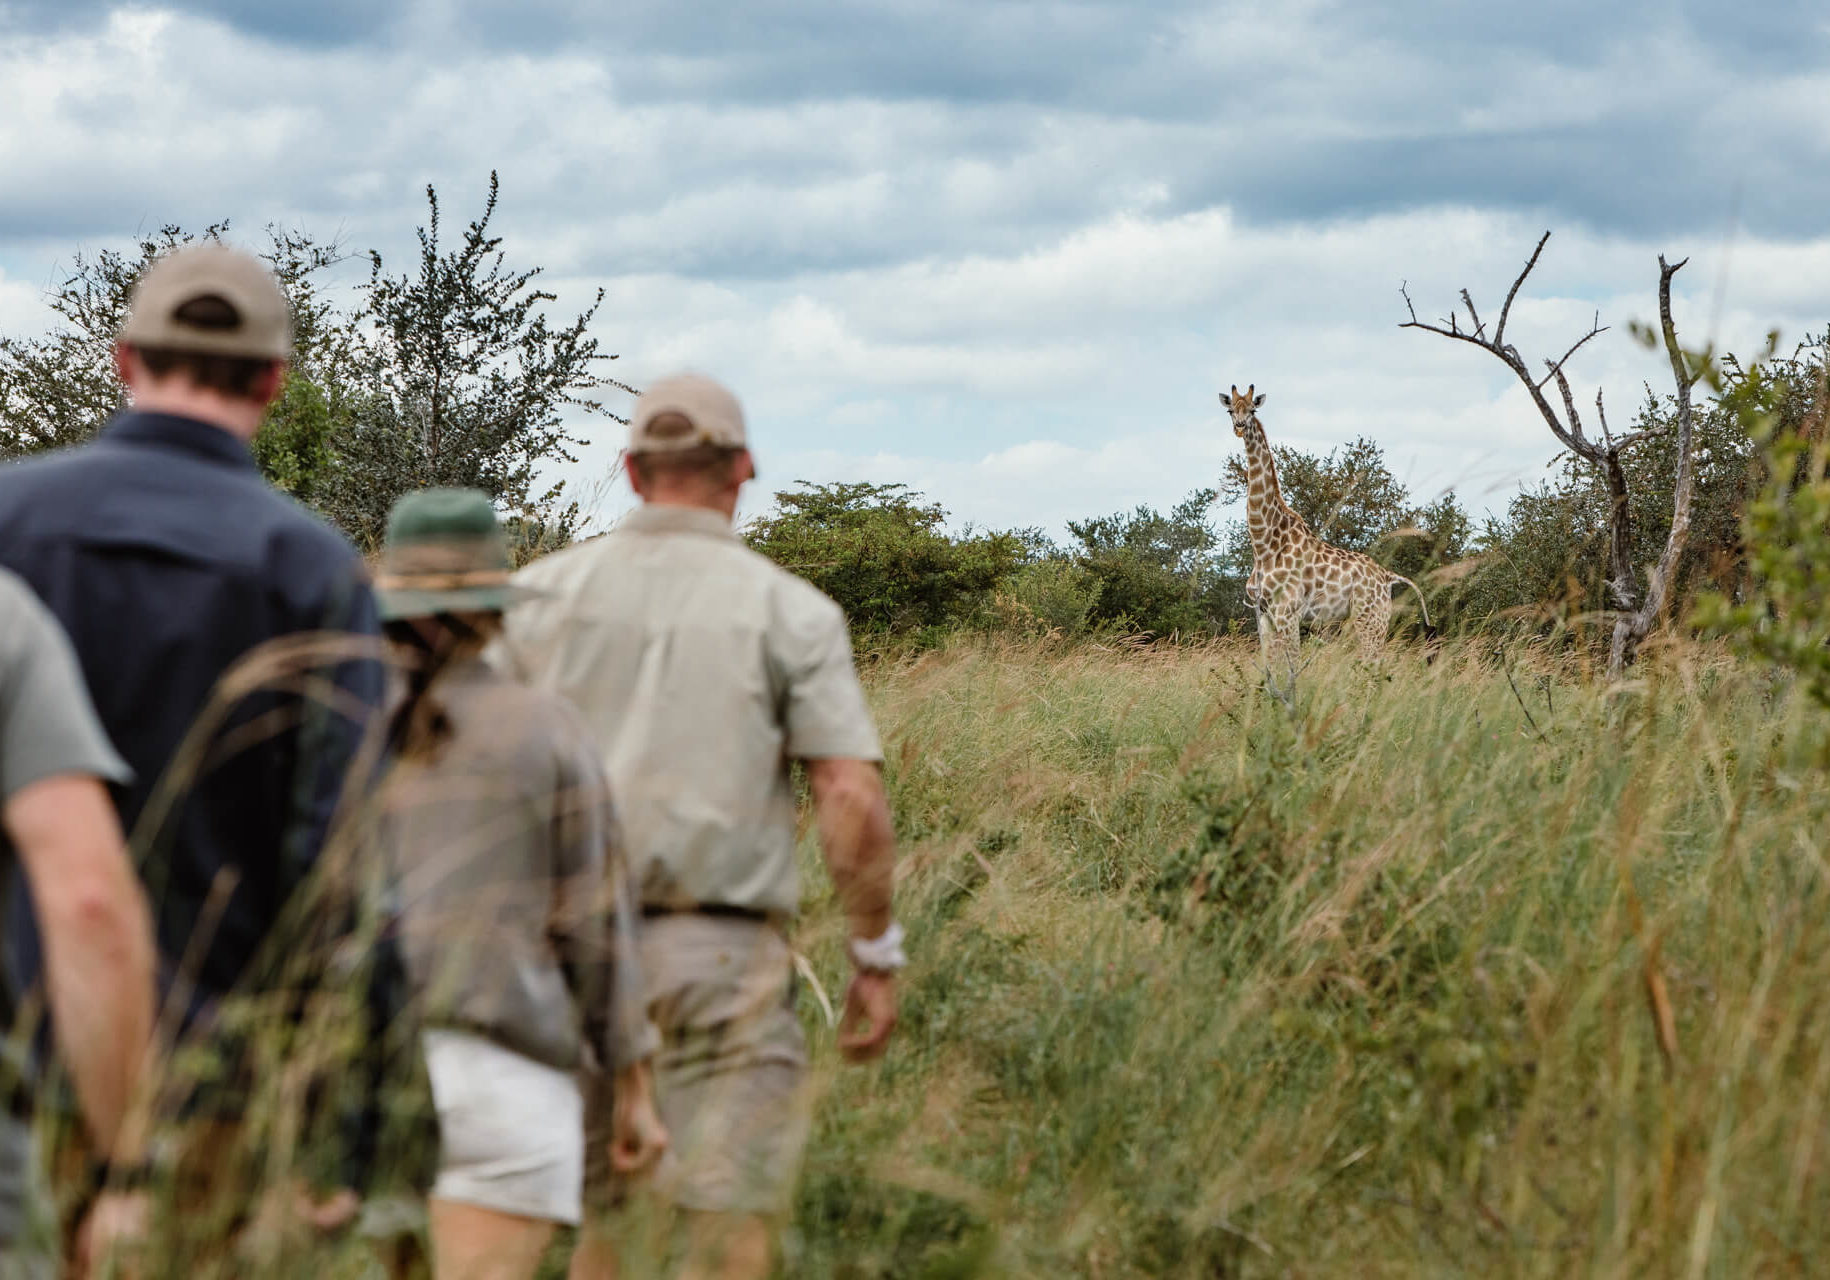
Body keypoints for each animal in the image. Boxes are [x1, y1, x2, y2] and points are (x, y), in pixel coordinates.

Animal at [1222, 386, 1434, 695]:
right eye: (1230, 410)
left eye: (1252, 410)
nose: (1239, 427)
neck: (1264, 544)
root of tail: (1387, 577)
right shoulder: (1262, 615)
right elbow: (1271, 670)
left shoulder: (1288, 613)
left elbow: (1292, 669)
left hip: (1370, 620)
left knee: (1376, 669)